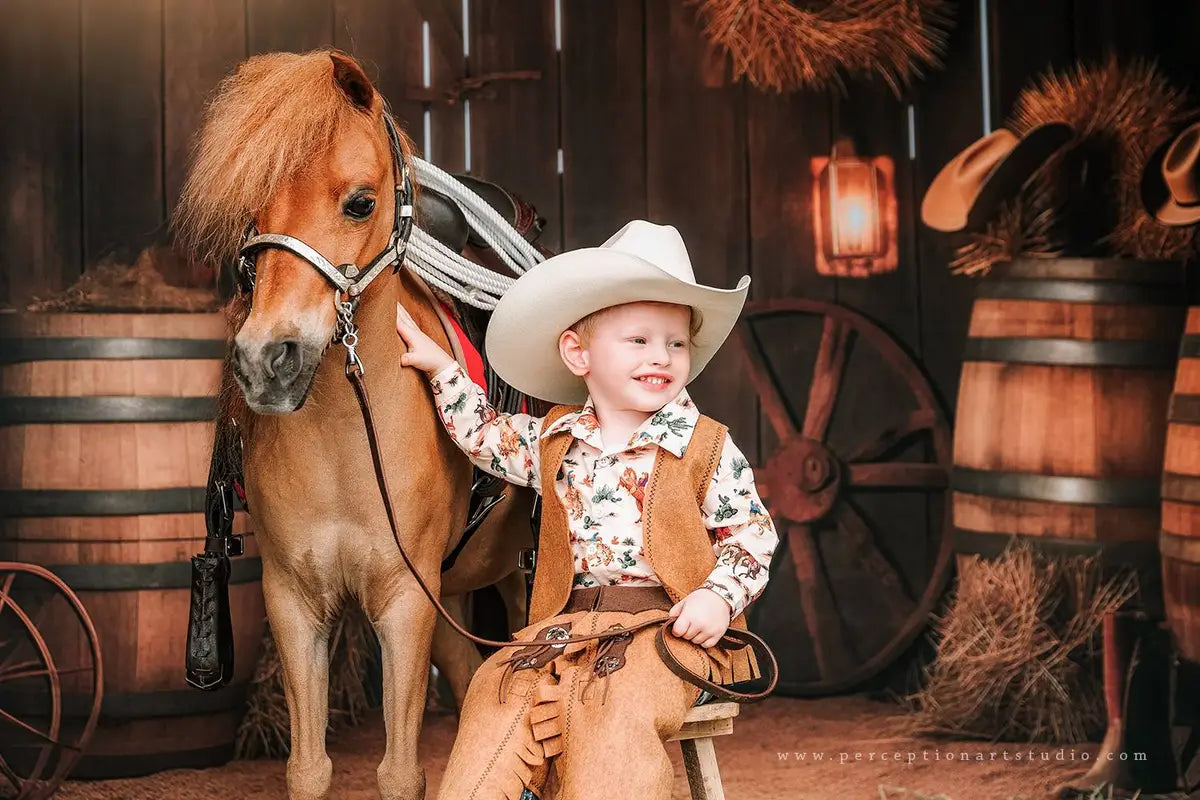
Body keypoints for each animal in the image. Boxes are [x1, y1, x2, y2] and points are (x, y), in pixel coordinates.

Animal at [175, 50, 530, 800]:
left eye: (360, 201)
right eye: (251, 211)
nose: (268, 359)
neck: (344, 439)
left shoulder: (403, 603)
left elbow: (399, 774)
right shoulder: (296, 601)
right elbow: (309, 770)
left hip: (516, 576)